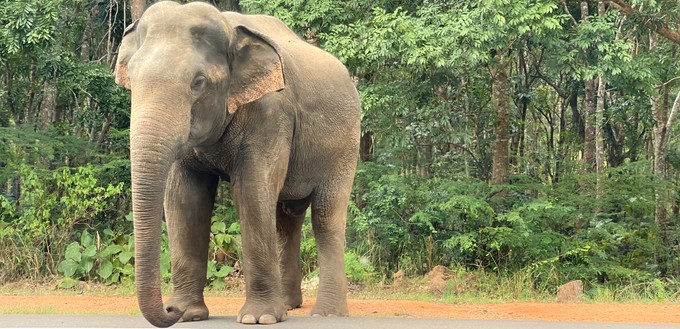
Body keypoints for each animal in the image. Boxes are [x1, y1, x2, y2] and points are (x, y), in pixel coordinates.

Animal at [114, 1, 362, 326]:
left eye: (198, 83)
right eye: (132, 78)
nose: (169, 310)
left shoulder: (270, 112)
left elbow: (252, 190)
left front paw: (259, 318)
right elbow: (184, 198)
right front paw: (188, 314)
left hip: (346, 144)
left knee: (325, 215)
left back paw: (327, 313)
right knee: (286, 219)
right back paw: (289, 304)